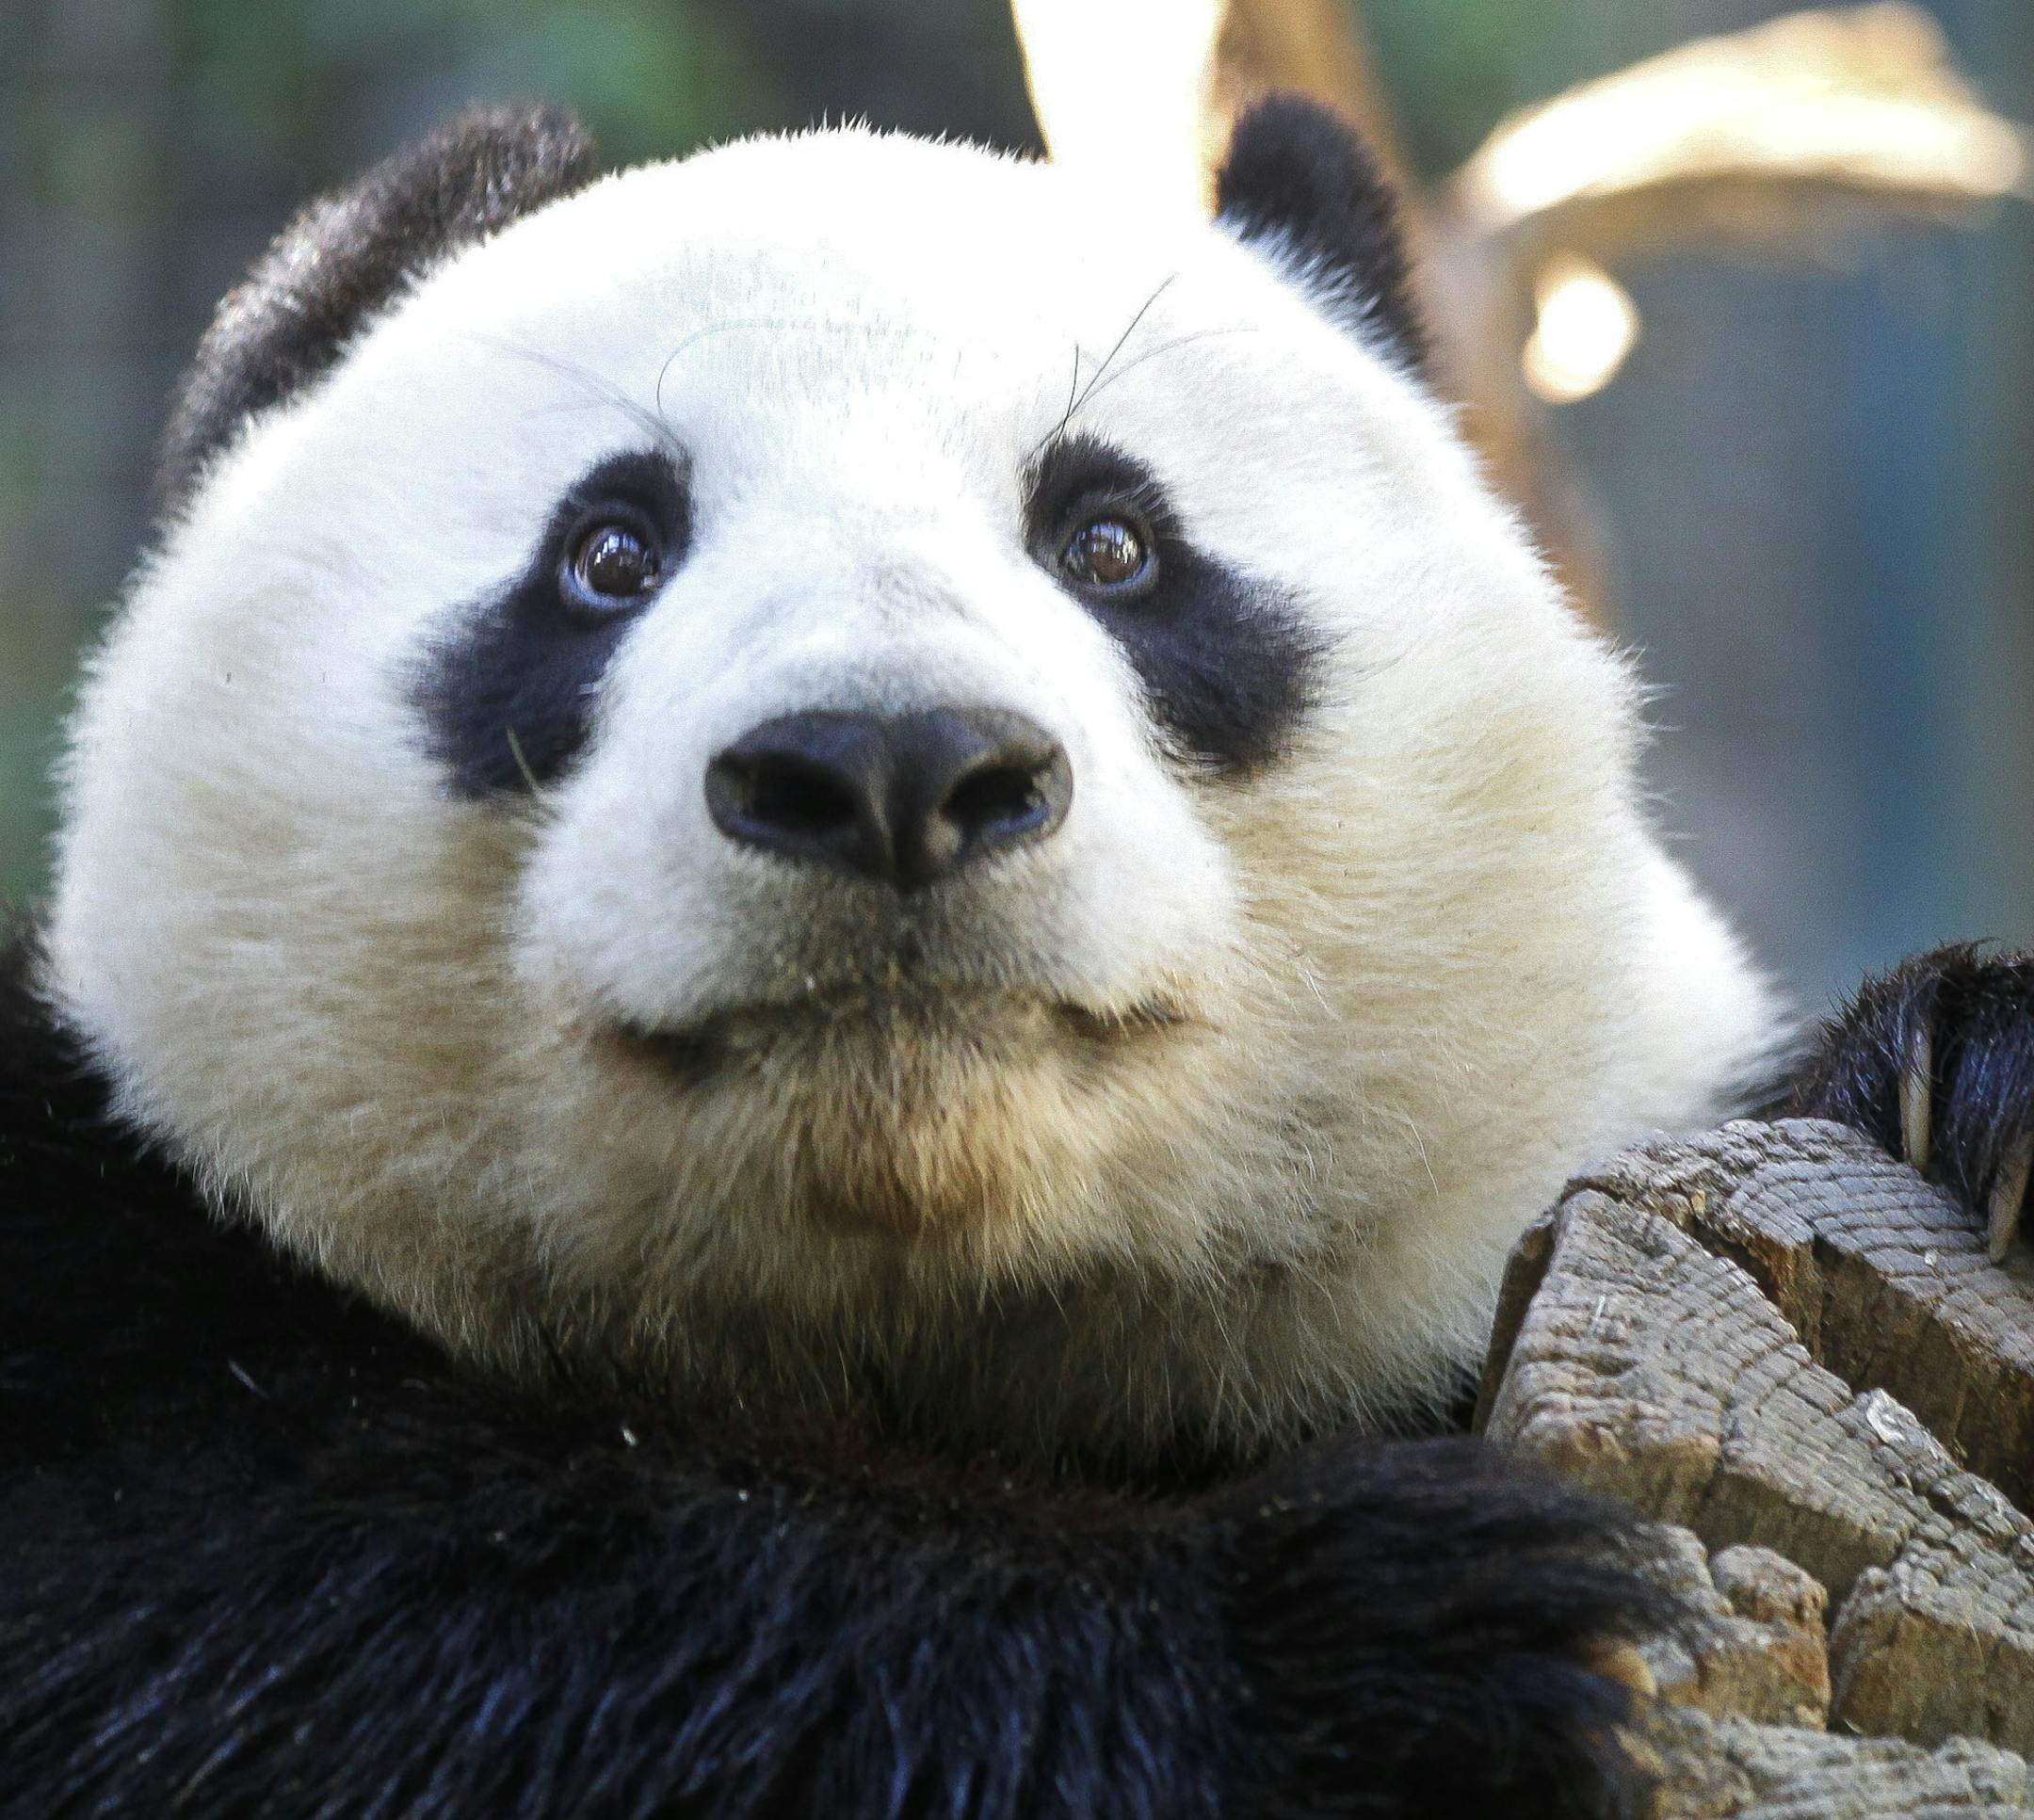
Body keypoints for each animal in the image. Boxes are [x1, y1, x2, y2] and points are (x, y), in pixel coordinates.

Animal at [5, 97, 2032, 1819]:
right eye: (608, 552)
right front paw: (1384, 1657)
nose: (889, 770)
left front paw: (1960, 1085)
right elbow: (324, 1595)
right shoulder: (116, 1272)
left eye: (1113, 539)